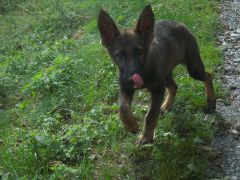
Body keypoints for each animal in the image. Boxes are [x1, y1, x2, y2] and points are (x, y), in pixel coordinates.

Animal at [97, 4, 216, 145]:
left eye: (139, 52)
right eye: (119, 55)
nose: (131, 79)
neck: (145, 70)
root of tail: (179, 23)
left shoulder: (157, 89)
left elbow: (151, 114)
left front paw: (146, 136)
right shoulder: (125, 87)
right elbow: (122, 108)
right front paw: (132, 125)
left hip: (193, 68)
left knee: (208, 76)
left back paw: (211, 102)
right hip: (166, 73)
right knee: (174, 87)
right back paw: (166, 106)